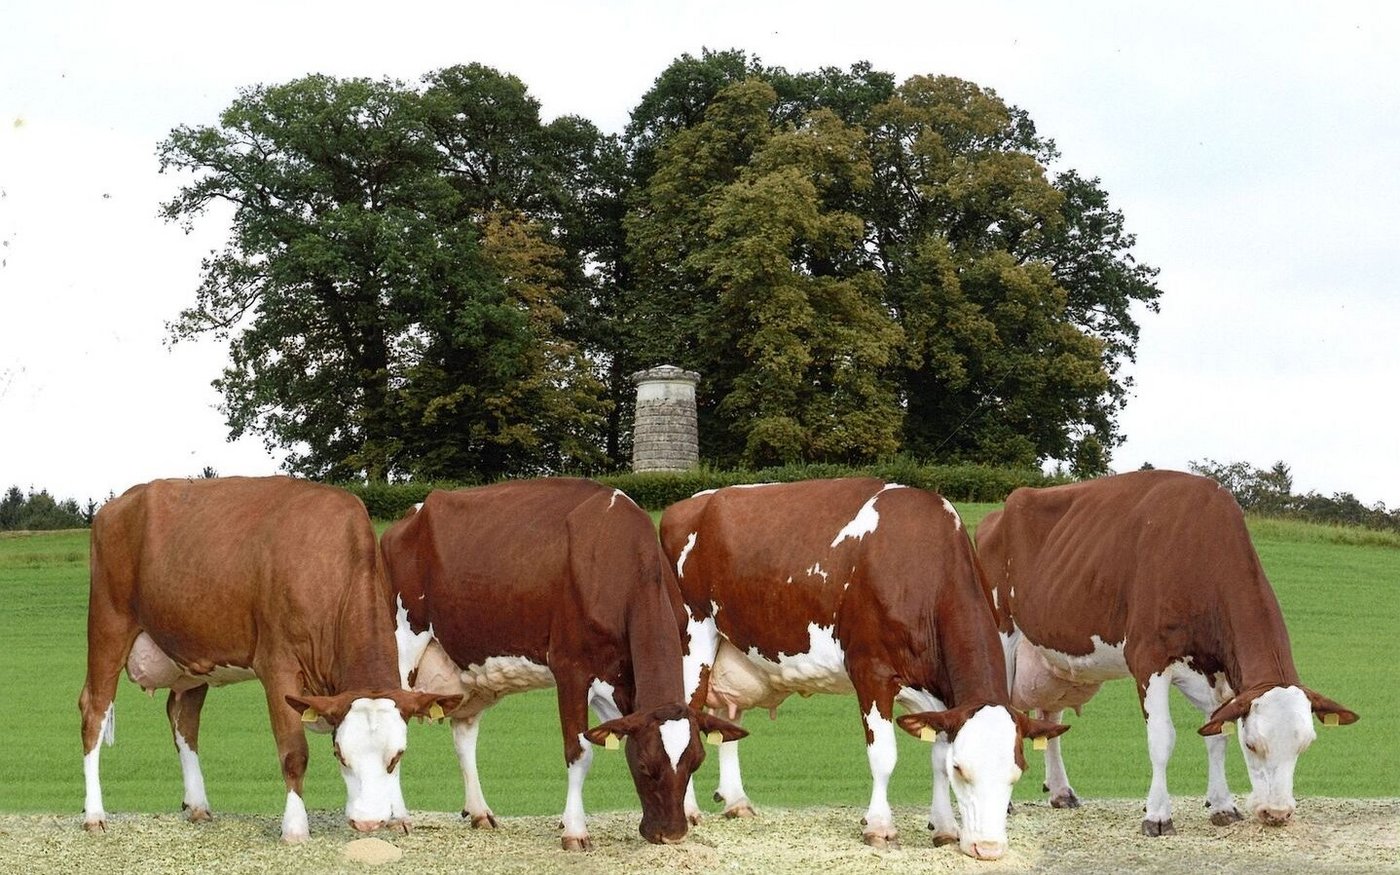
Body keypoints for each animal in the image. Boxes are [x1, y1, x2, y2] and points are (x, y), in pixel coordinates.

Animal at [79, 476, 458, 841]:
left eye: (397, 756)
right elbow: (294, 753)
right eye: (340, 754)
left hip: (191, 652)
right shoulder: (278, 667)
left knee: (183, 718)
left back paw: (198, 805)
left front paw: (397, 817)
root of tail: (122, 500)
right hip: (108, 625)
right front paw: (295, 828)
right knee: (94, 711)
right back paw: (95, 815)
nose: (367, 823)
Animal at [380, 478, 746, 850]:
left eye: (696, 762)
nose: (671, 834)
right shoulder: (571, 668)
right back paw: (397, 817)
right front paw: (575, 830)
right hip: (403, 638)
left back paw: (479, 811)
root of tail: (413, 512)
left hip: (470, 663)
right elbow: (579, 751)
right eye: (645, 765)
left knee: (465, 732)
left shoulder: (620, 680)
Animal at [658, 478, 1068, 860]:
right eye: (962, 770)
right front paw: (880, 827)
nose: (988, 848)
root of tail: (686, 504)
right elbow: (884, 756)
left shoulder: (940, 697)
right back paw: (688, 811)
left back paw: (736, 801)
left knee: (726, 720)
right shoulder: (871, 671)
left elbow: (935, 755)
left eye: (1017, 772)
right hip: (692, 638)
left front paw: (945, 828)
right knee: (689, 718)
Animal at [975, 469, 1358, 836]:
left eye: (1305, 744)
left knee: (1050, 718)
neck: (1198, 552)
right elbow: (1162, 739)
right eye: (1252, 744)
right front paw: (1158, 815)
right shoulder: (1148, 659)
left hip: (1053, 659)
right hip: (1002, 633)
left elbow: (1216, 734)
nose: (1276, 813)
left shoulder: (1212, 671)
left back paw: (1061, 791)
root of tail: (999, 511)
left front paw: (1222, 805)